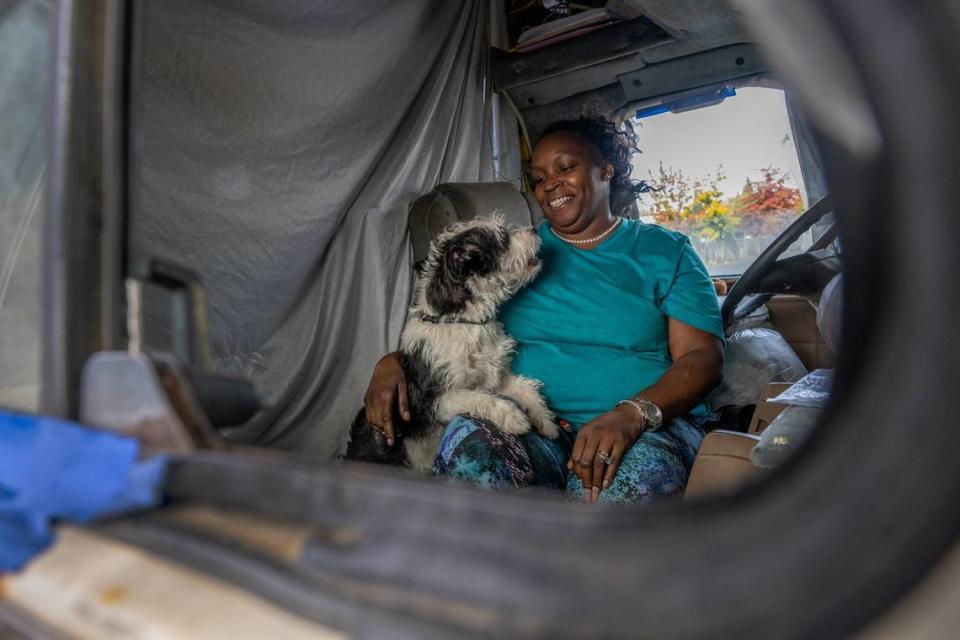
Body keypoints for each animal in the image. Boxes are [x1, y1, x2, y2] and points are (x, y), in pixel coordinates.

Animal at [346, 215, 560, 470]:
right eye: (503, 238)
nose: (534, 230)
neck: (463, 321)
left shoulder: (495, 379)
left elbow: (523, 388)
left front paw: (545, 419)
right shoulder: (435, 401)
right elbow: (477, 397)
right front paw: (512, 416)